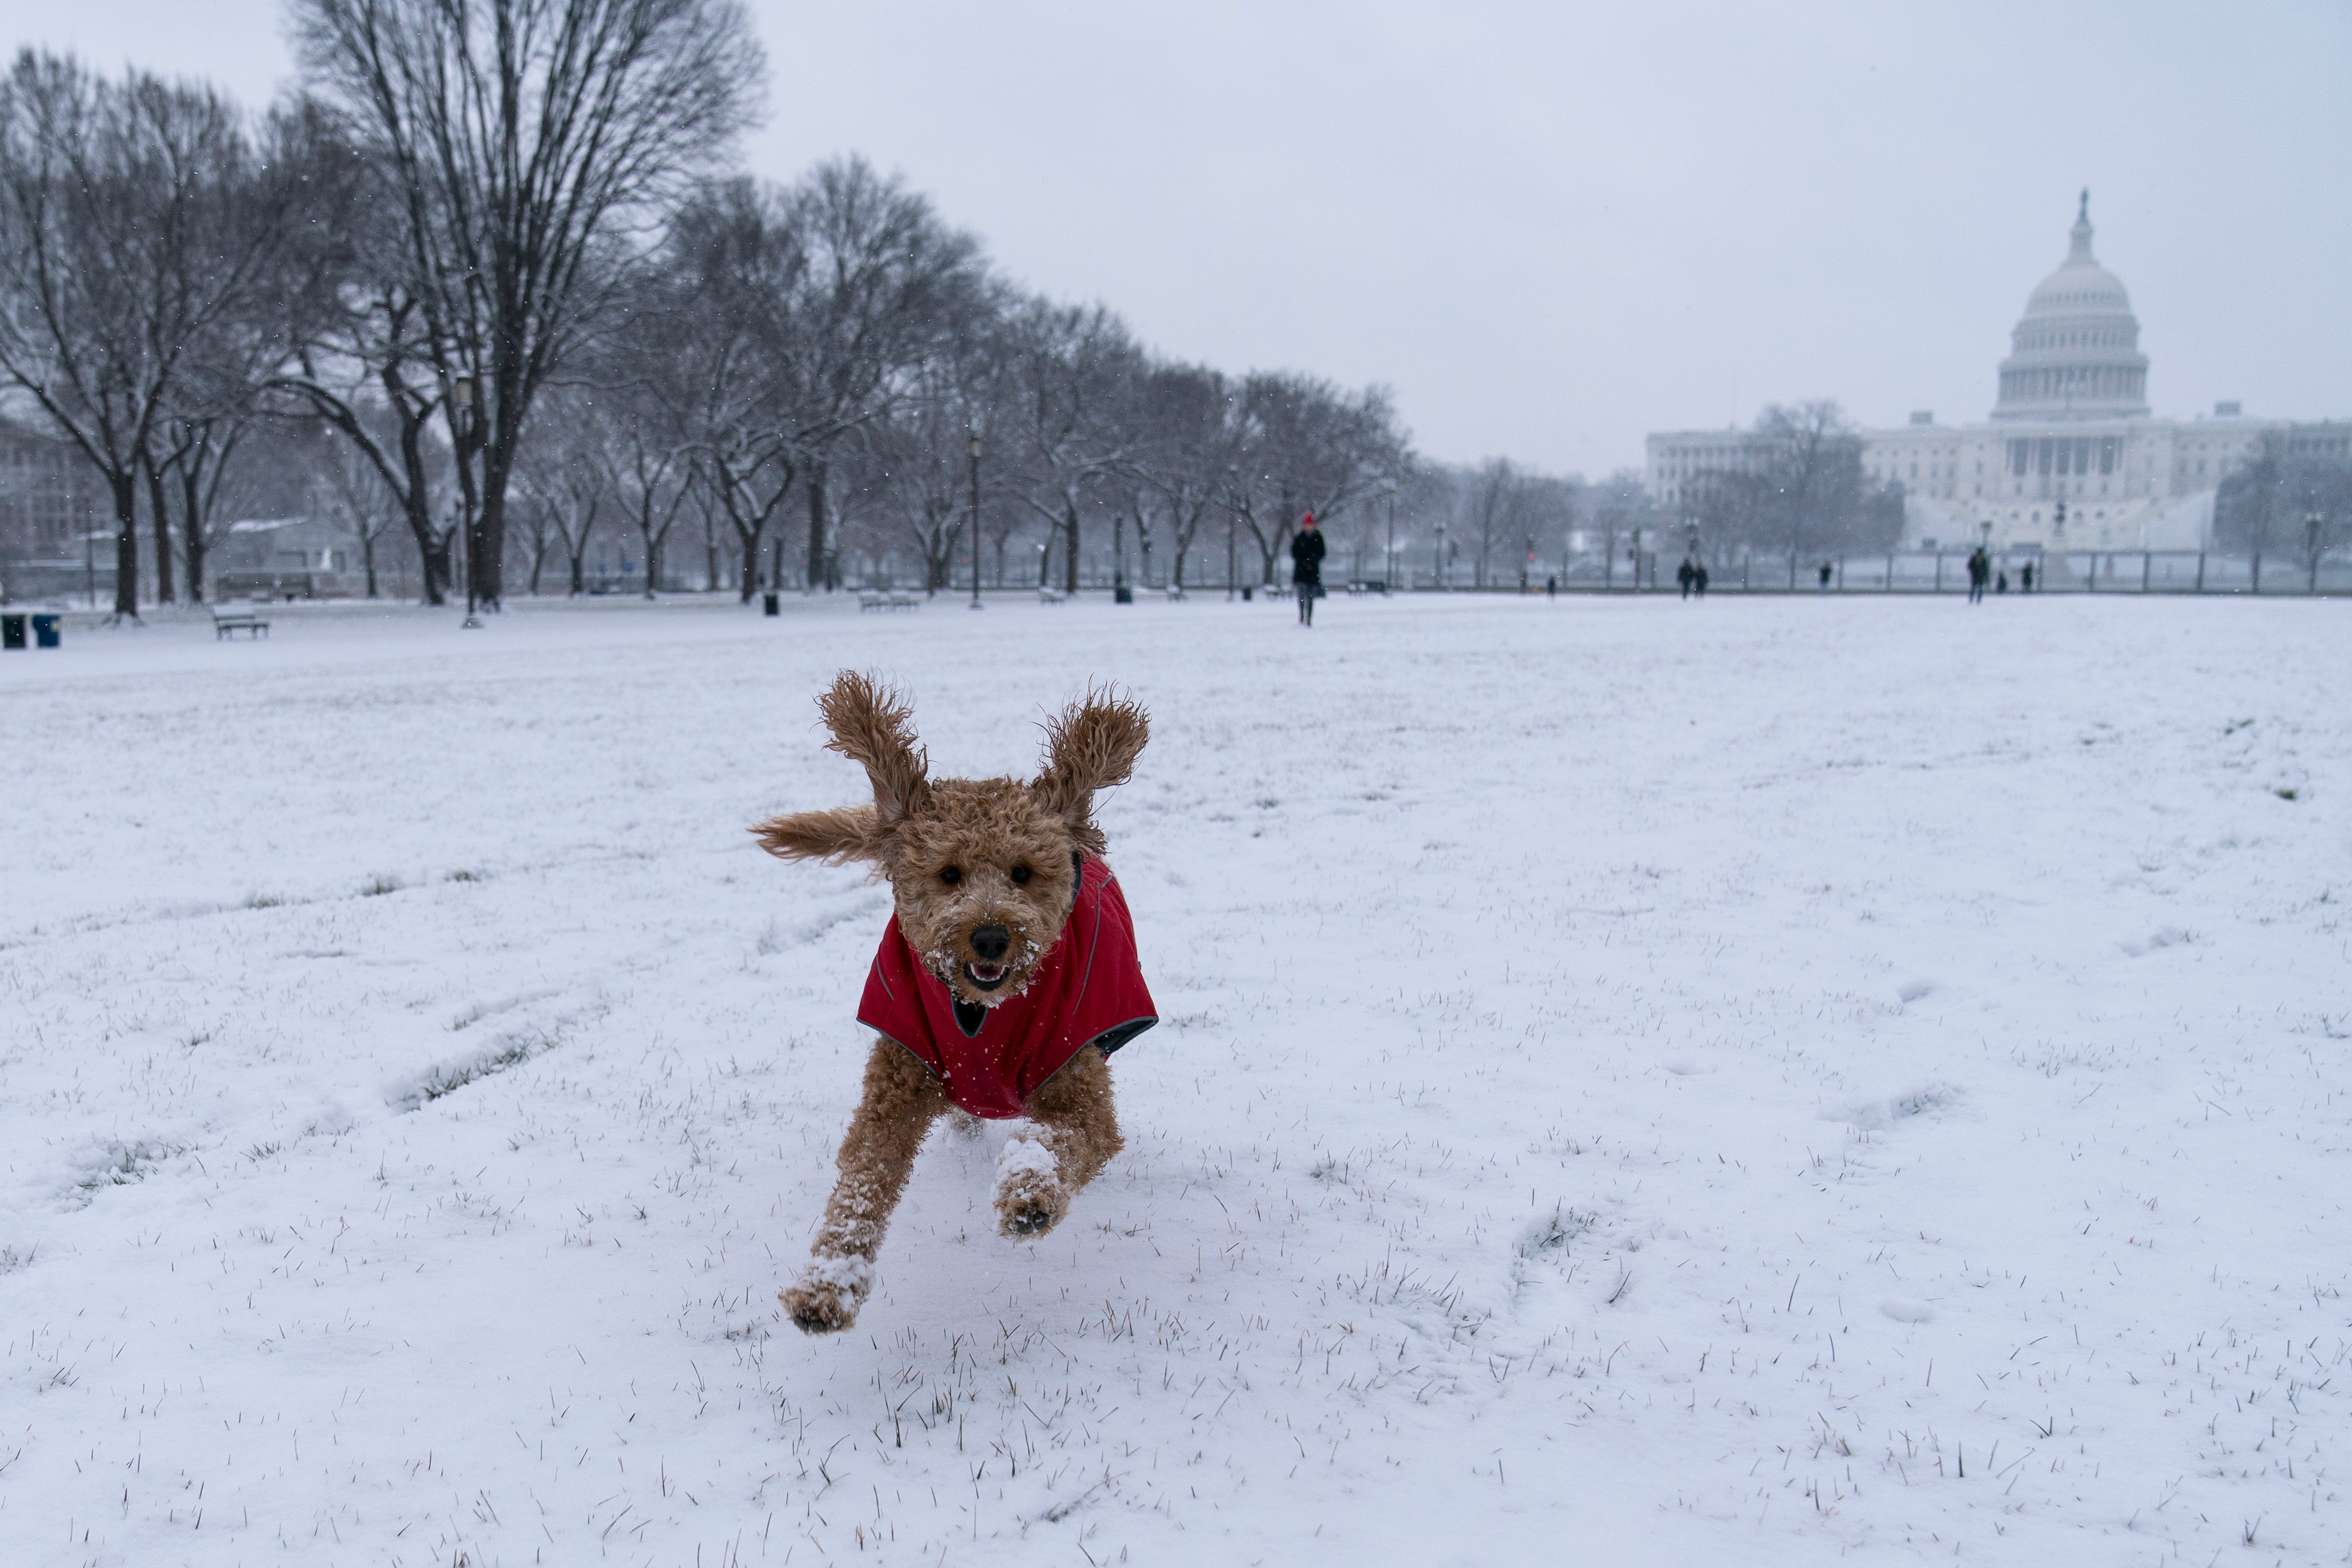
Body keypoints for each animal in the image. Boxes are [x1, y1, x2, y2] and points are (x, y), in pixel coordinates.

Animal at [753, 677, 1157, 1335]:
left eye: (1022, 872)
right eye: (949, 874)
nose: (990, 936)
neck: (981, 1012)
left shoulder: (1080, 1083)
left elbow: (1065, 1139)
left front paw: (1030, 1193)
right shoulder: (896, 1083)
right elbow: (861, 1187)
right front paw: (826, 1286)